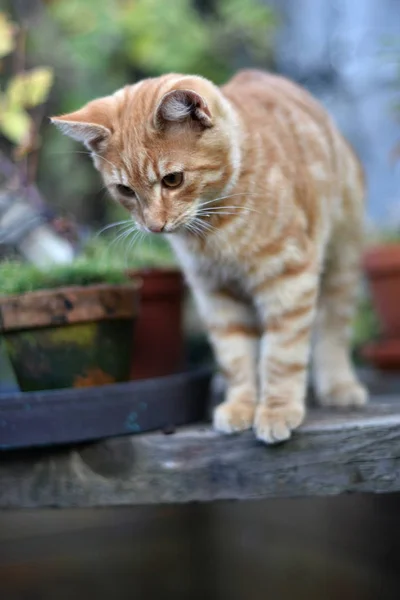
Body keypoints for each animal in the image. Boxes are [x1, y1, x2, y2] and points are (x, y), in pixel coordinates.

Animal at [53, 71, 368, 446]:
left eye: (173, 180)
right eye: (125, 191)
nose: (154, 226)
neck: (214, 227)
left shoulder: (289, 277)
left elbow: (281, 352)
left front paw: (276, 408)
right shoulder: (215, 292)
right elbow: (235, 355)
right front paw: (242, 405)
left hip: (342, 259)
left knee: (333, 327)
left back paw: (338, 385)